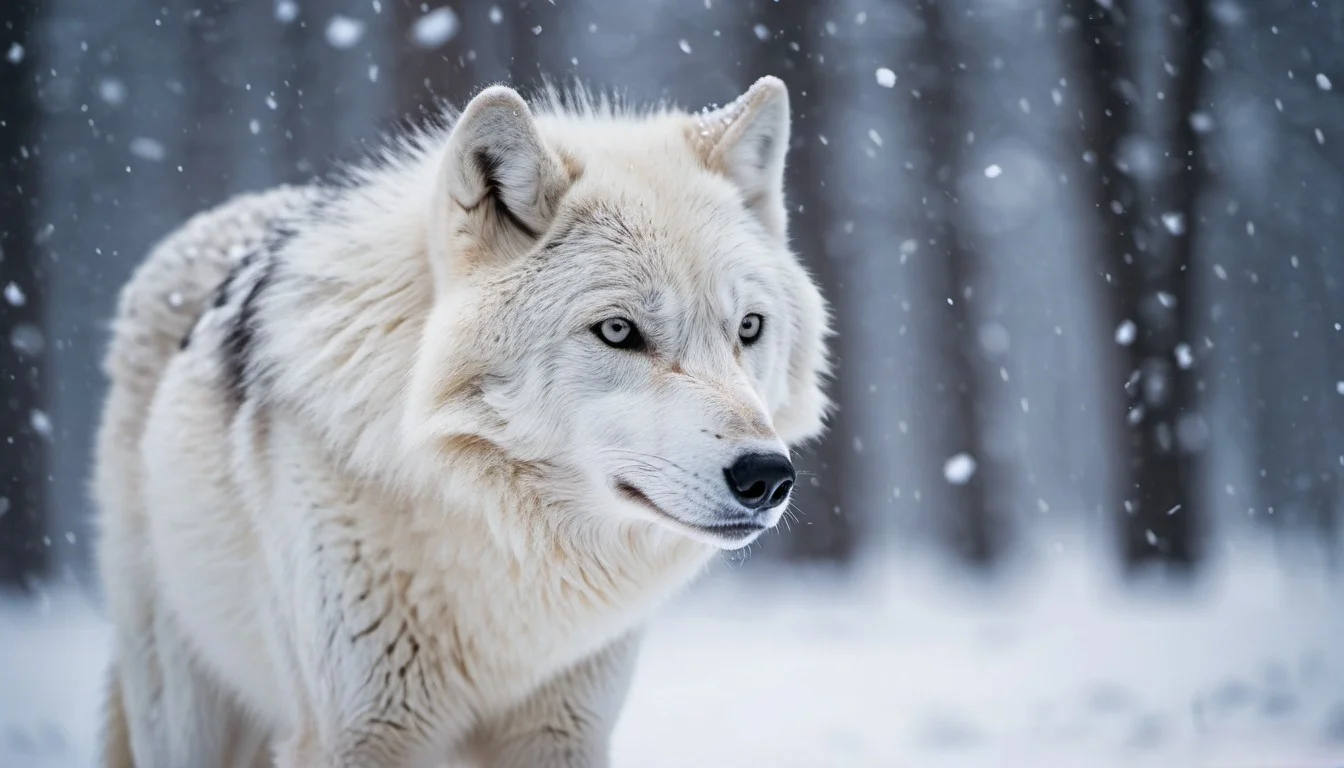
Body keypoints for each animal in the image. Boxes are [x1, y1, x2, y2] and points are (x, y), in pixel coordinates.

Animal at [92, 75, 831, 767]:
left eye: (749, 328)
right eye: (619, 330)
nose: (767, 477)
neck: (502, 533)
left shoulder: (562, 732)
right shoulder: (354, 735)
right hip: (182, 710)